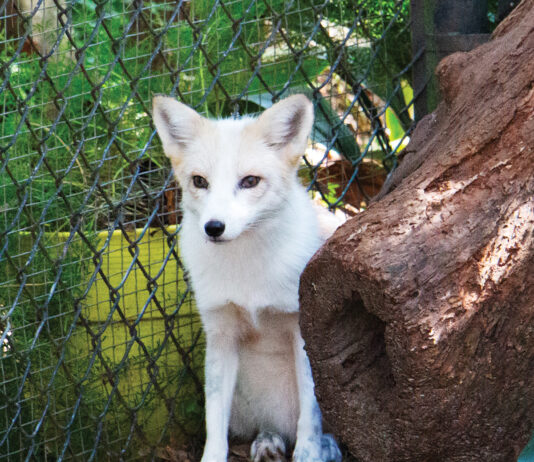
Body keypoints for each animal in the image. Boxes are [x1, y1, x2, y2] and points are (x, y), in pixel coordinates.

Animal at [154, 94, 344, 462]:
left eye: (250, 181)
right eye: (200, 182)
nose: (214, 227)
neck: (248, 276)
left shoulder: (302, 329)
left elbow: (309, 416)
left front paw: (308, 453)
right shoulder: (221, 332)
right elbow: (214, 423)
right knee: (267, 426)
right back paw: (268, 442)